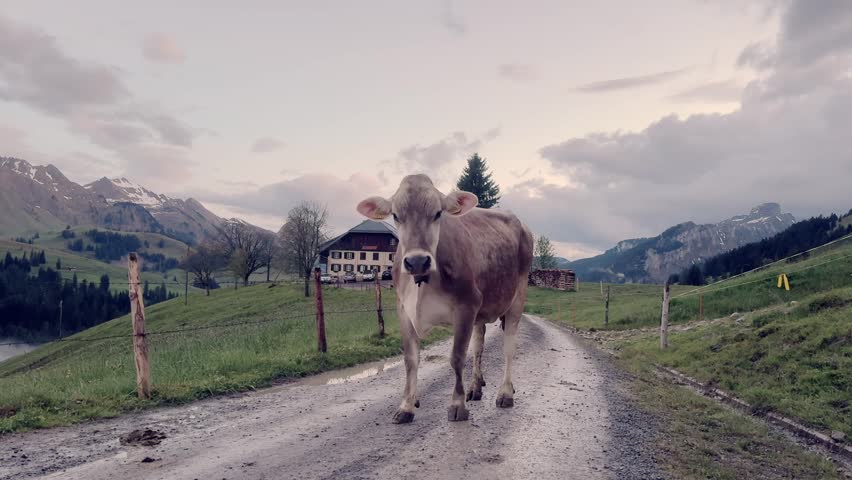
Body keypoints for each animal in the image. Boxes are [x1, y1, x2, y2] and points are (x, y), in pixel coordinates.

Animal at [356, 174, 534, 423]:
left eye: (438, 213)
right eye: (396, 215)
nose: (417, 261)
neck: (424, 281)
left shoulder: (466, 306)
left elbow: (457, 357)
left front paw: (457, 405)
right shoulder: (404, 310)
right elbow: (411, 359)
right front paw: (407, 406)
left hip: (518, 296)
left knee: (509, 346)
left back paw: (505, 393)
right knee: (479, 345)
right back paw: (475, 387)